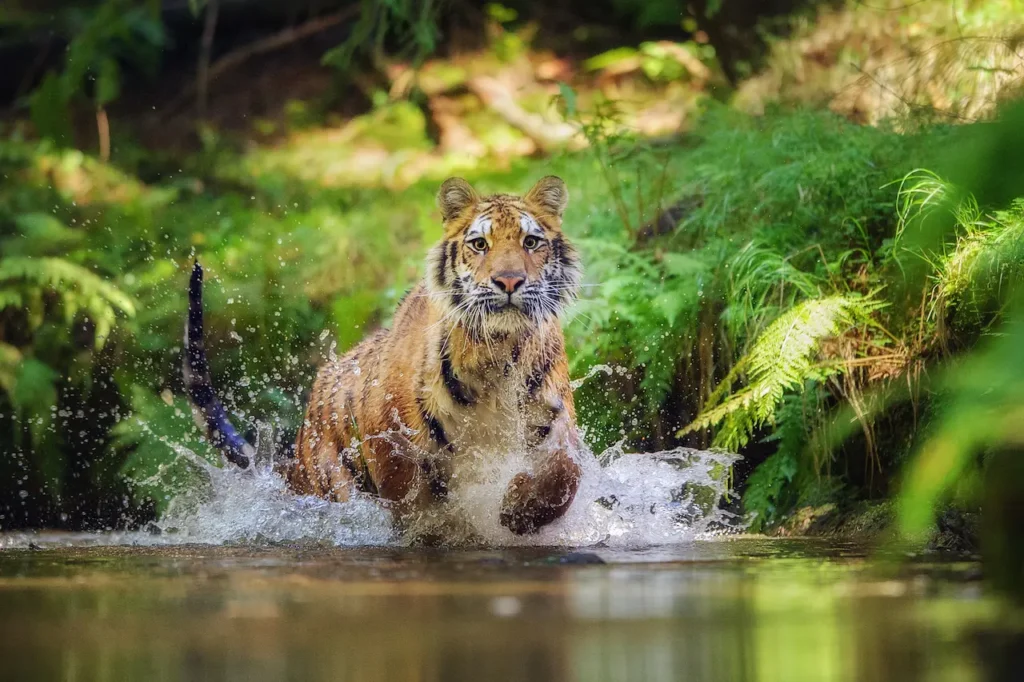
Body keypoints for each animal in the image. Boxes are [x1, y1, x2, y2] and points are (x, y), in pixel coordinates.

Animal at [184, 178, 585, 540]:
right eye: (479, 244)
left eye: (530, 242)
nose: (510, 281)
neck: (496, 354)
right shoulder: (390, 440)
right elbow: (413, 503)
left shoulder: (554, 417)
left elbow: (566, 473)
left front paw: (519, 509)